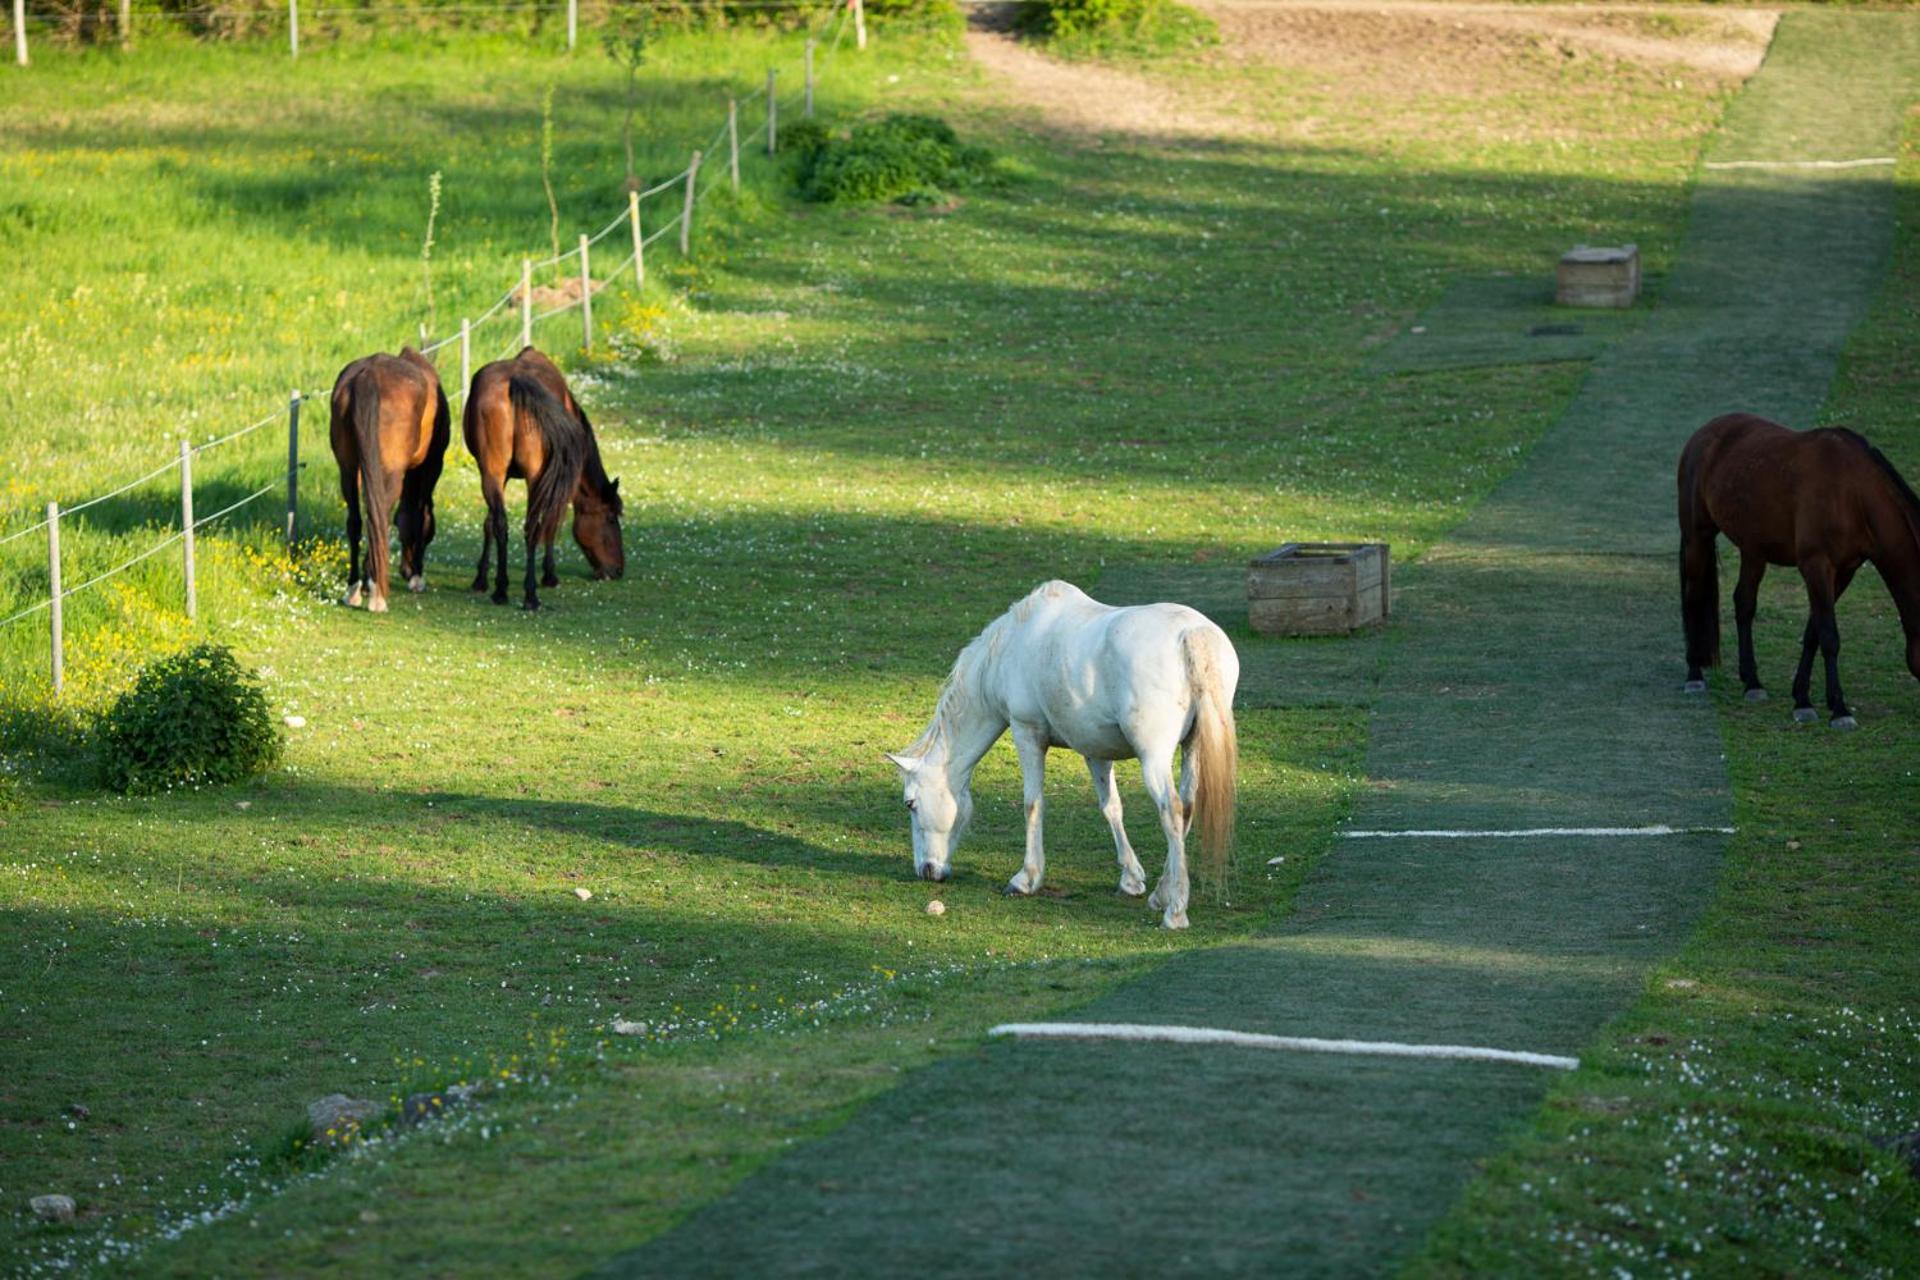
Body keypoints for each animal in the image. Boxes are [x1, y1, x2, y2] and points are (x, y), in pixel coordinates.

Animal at [330, 347, 453, 614]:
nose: (405, 570)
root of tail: (368, 376)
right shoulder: (431, 467)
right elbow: (418, 516)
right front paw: (416, 577)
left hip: (348, 469)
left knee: (356, 521)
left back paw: (353, 589)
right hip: (394, 473)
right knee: (380, 517)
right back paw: (377, 593)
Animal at [462, 347, 622, 614]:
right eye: (610, 518)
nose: (618, 570)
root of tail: (515, 381)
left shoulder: (499, 477)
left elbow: (489, 523)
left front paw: (481, 579)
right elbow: (552, 524)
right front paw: (550, 575)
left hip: (493, 473)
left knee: (504, 524)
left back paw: (501, 590)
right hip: (534, 478)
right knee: (534, 527)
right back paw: (530, 596)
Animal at [887, 583, 1244, 932]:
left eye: (910, 804)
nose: (926, 870)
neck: (1013, 644)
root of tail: (1191, 634)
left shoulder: (1026, 733)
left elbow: (1033, 804)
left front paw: (1026, 879)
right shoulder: (1095, 750)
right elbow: (1111, 808)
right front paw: (1131, 879)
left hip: (1153, 757)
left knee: (1171, 811)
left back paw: (1175, 911)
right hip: (1191, 748)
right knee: (1187, 809)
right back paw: (1161, 894)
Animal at [1681, 416, 1920, 725]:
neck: (1852, 493)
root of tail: (1704, 433)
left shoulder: (1844, 572)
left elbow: (1812, 633)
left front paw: (1803, 698)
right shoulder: (1815, 565)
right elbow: (1829, 636)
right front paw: (1839, 710)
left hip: (1753, 551)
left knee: (1744, 603)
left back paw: (1752, 682)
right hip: (1696, 537)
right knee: (1693, 598)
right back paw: (1694, 674)